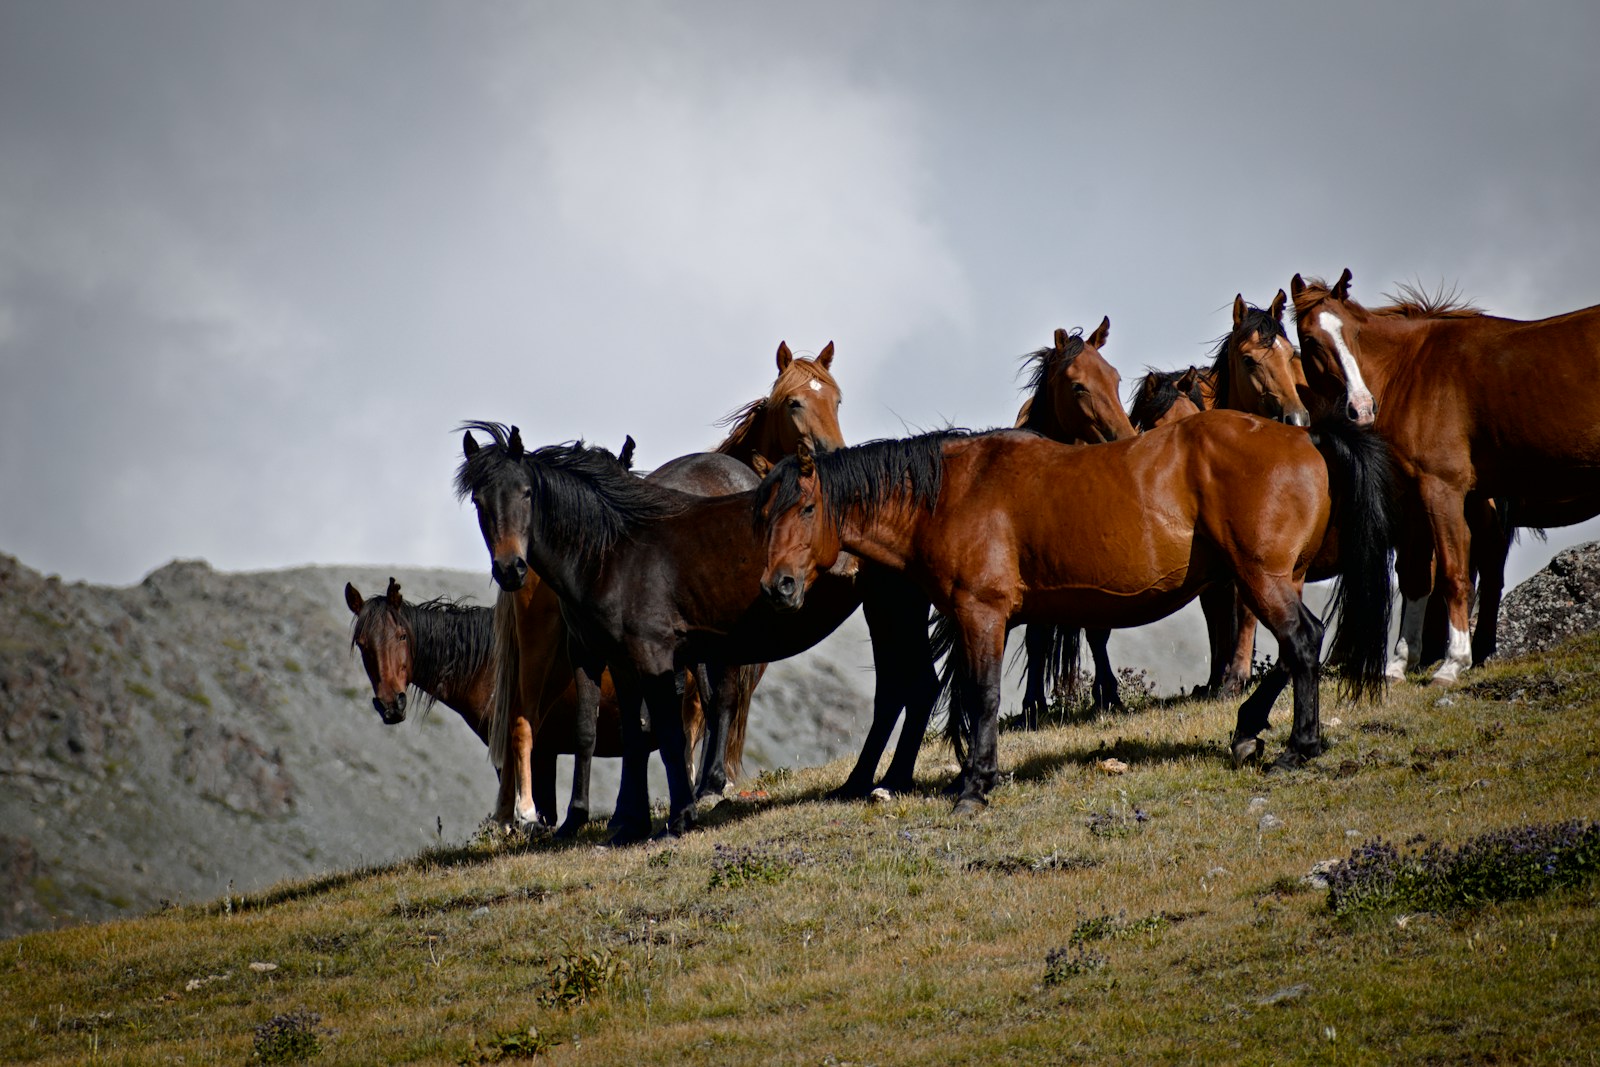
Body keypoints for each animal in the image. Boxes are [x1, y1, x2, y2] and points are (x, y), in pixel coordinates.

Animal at [347, 579, 732, 831]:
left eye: (401, 636)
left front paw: (524, 818)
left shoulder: (540, 751)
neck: (489, 663)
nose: (391, 705)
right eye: (362, 645)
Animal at [457, 422, 940, 844]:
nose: (511, 569)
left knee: (907, 688)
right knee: (905, 690)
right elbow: (624, 735)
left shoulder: (653, 658)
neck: (613, 552)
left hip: (894, 609)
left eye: (526, 493)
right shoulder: (614, 659)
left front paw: (678, 818)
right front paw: (625, 823)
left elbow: (668, 735)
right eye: (479, 501)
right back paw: (867, 783)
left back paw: (883, 782)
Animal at [755, 412, 1395, 812]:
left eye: (806, 507)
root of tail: (1306, 437)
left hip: (1263, 578)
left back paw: (1298, 748)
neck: (954, 492)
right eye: (763, 515)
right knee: (1297, 648)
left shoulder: (982, 614)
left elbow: (982, 694)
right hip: (1275, 578)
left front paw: (975, 786)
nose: (777, 586)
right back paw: (1248, 731)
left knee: (1302, 643)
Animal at [1011, 321, 1139, 726]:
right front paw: (1031, 706)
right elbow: (1037, 636)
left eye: (1115, 378)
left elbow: (1098, 632)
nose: (1127, 440)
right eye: (1078, 386)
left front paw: (1109, 696)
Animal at [1286, 267, 1600, 684]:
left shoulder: (1443, 489)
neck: (1411, 371)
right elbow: (1417, 578)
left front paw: (1454, 662)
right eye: (1310, 340)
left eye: (1354, 334)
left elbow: (1453, 574)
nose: (1362, 408)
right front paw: (1400, 662)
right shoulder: (1417, 497)